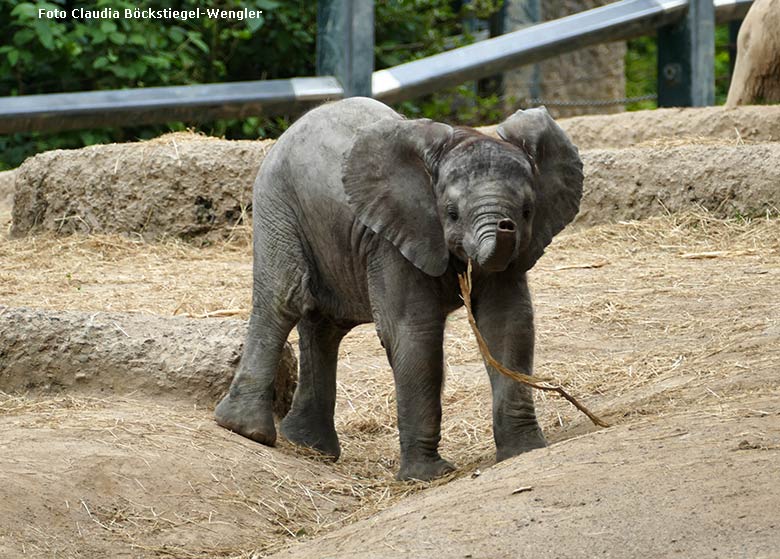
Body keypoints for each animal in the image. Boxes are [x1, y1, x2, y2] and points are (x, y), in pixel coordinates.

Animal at [216, 97, 580, 482]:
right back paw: (246, 430)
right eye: (450, 213)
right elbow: (414, 333)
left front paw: (525, 452)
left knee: (325, 327)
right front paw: (428, 476)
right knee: (284, 299)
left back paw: (309, 447)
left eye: (527, 211)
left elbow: (507, 323)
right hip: (278, 204)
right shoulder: (391, 240)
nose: (506, 227)